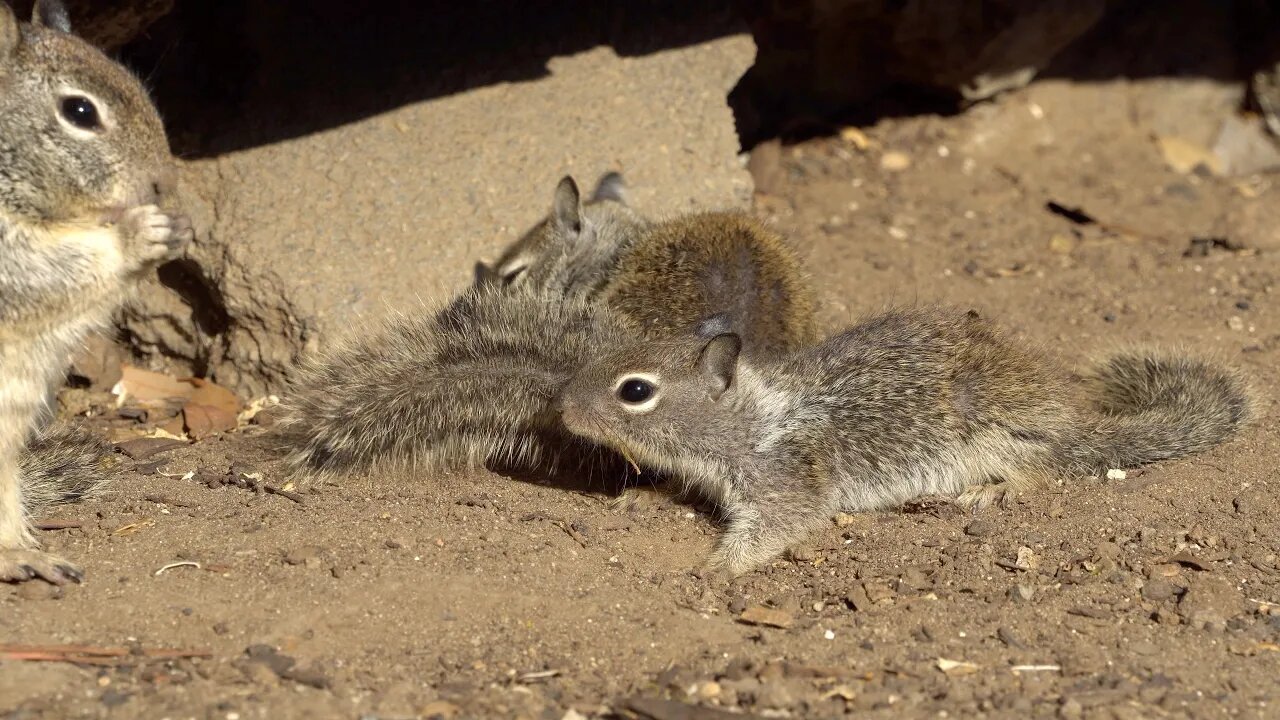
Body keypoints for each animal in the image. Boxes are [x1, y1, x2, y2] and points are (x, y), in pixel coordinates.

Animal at [552, 304, 1249, 573]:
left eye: (634, 391)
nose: (561, 407)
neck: (752, 417)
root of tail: (1072, 424)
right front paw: (639, 497)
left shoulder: (786, 483)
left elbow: (775, 528)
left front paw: (716, 566)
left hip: (993, 435)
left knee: (1043, 468)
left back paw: (990, 493)